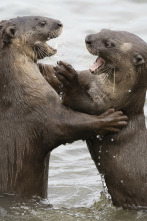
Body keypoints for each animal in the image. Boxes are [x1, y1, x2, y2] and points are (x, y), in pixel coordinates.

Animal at [53, 29, 147, 209]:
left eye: (108, 43)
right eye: (103, 30)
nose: (88, 39)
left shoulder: (105, 105)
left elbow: (81, 102)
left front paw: (69, 78)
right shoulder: (88, 78)